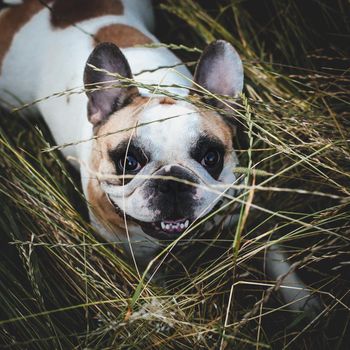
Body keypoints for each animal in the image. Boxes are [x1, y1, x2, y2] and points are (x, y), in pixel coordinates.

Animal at [0, 0, 318, 314]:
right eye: (129, 162)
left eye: (211, 158)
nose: (173, 180)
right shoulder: (138, 259)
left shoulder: (245, 213)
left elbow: (274, 252)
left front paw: (303, 301)